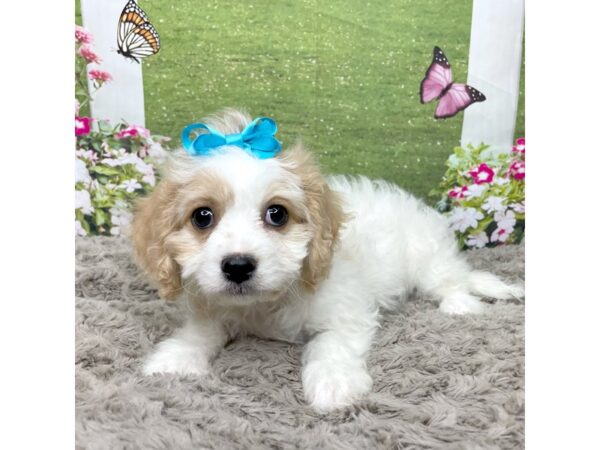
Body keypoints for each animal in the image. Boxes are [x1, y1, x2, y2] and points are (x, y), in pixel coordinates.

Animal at [130, 108, 520, 412]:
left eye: (277, 214)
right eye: (202, 217)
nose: (238, 266)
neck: (268, 304)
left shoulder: (345, 312)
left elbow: (330, 345)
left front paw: (334, 383)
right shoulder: (215, 304)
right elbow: (201, 330)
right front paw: (175, 358)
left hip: (427, 258)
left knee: (451, 281)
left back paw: (460, 305)